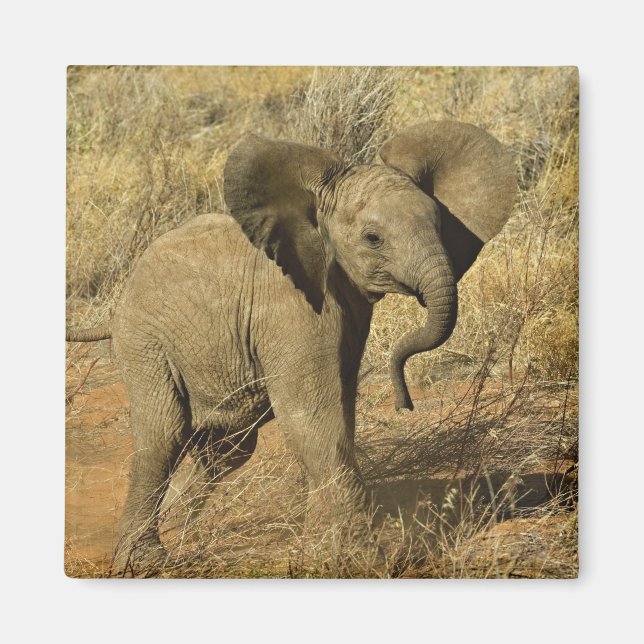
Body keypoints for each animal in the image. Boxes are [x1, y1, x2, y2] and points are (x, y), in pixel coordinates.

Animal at [66, 120, 516, 575]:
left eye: (441, 225)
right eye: (373, 238)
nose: (404, 403)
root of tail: (117, 304)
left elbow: (339, 411)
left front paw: (323, 542)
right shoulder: (292, 309)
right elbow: (311, 415)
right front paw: (355, 558)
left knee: (228, 450)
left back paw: (185, 531)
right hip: (145, 342)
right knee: (165, 434)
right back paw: (145, 561)